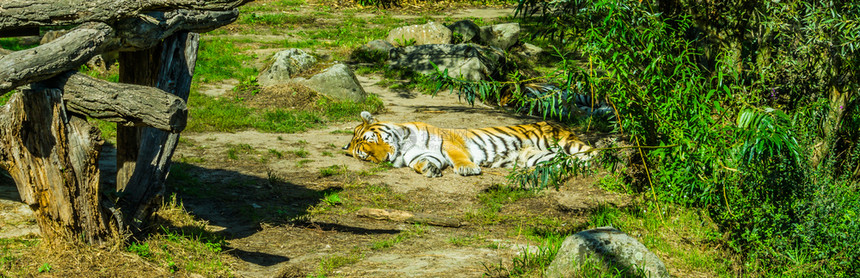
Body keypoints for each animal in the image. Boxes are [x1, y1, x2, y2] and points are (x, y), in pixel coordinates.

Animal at [340, 110, 596, 177]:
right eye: (367, 155)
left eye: (374, 139)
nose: (385, 158)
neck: (403, 148)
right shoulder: (421, 155)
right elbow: (422, 162)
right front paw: (429, 170)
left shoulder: (447, 141)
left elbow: (457, 156)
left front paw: (467, 168)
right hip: (540, 156)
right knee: (574, 161)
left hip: (566, 144)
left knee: (595, 153)